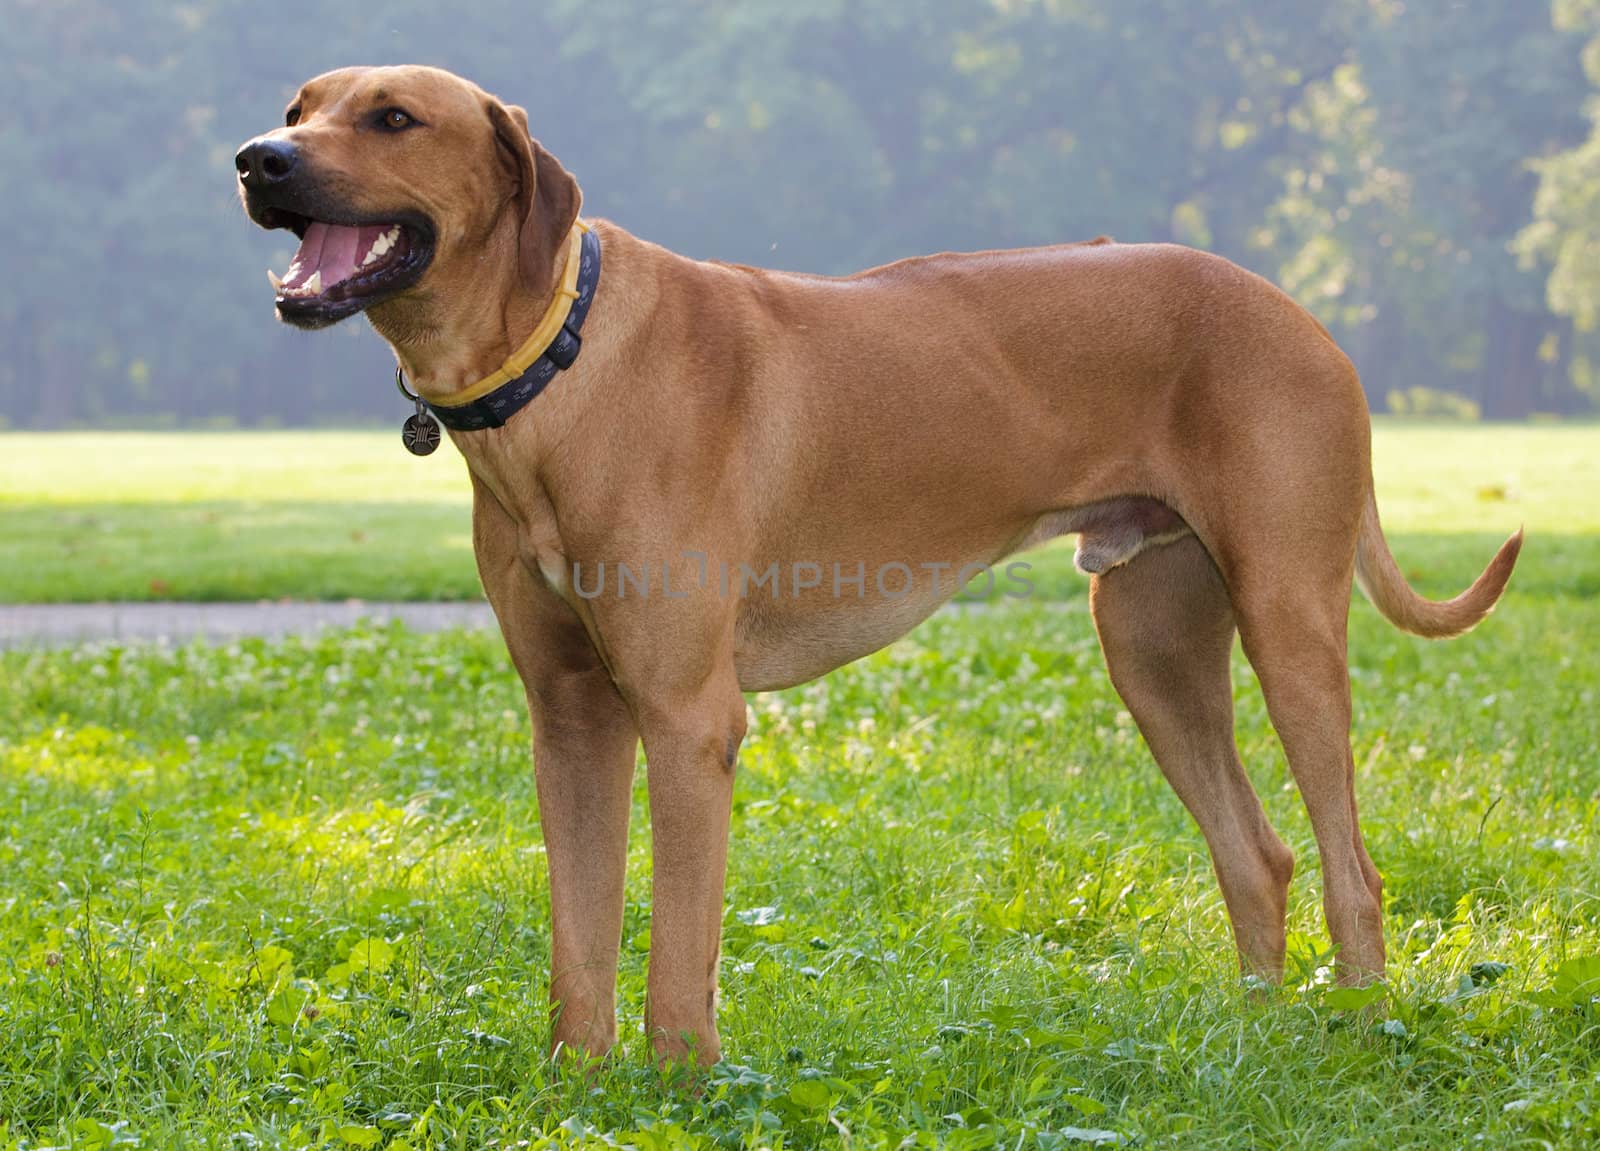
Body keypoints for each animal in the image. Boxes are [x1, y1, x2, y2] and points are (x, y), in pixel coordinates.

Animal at [236, 67, 1523, 1069]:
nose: (255, 157)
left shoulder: (687, 718)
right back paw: (1256, 1038)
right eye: (299, 106)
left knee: (1351, 862)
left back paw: (1359, 1032)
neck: (557, 354)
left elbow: (676, 945)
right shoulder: (569, 717)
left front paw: (677, 1086)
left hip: (1286, 617)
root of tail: (1297, 308)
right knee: (1256, 853)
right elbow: (578, 939)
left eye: (393, 117)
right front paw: (576, 1085)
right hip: (1150, 640)